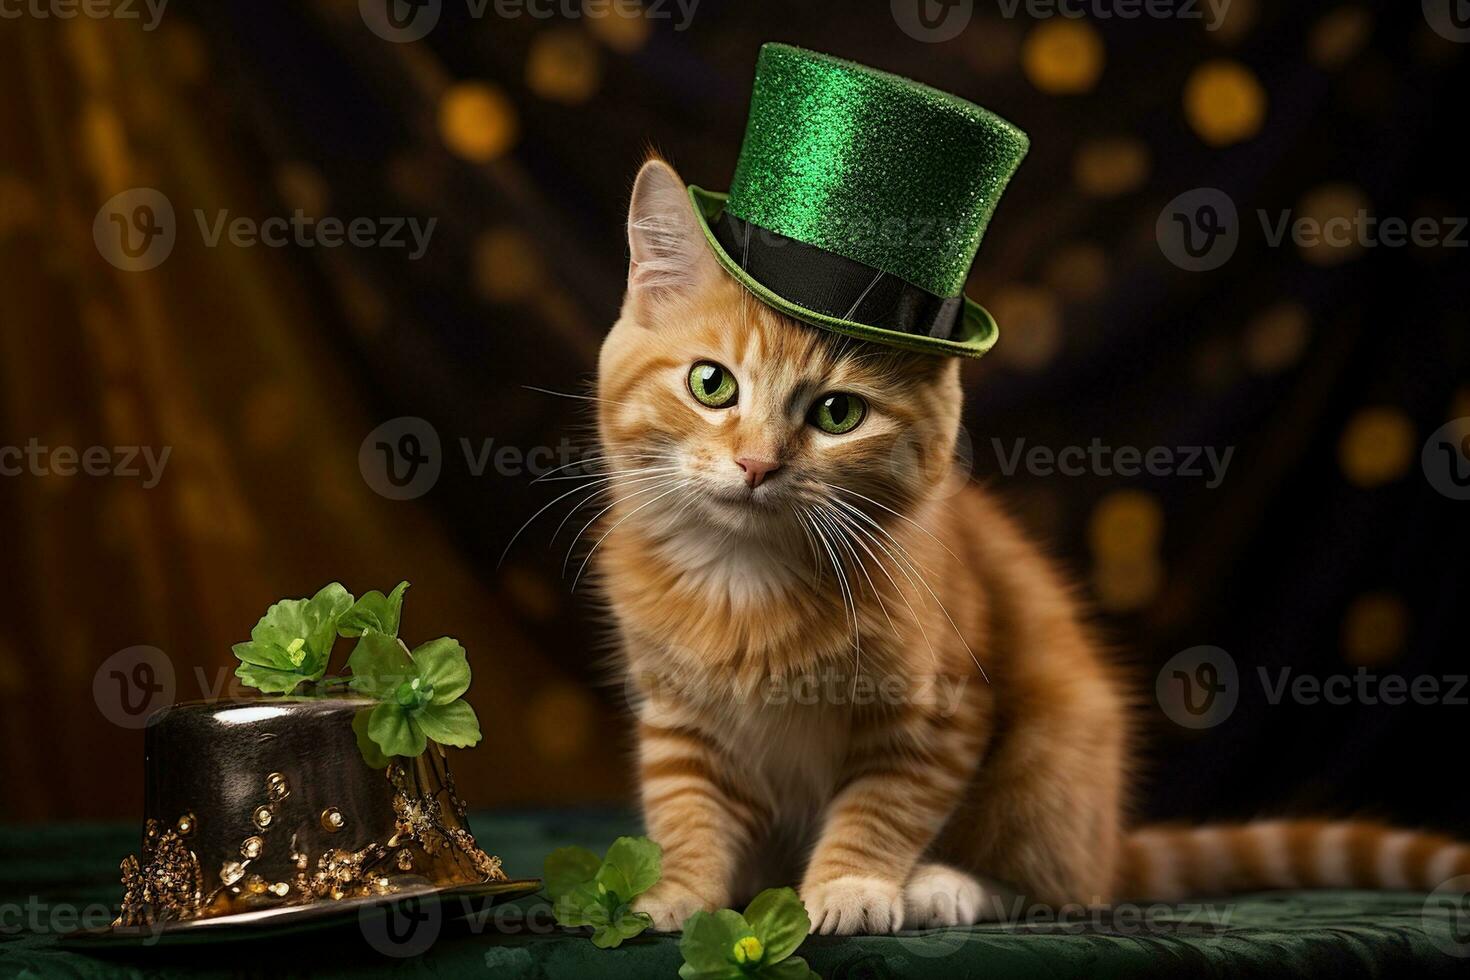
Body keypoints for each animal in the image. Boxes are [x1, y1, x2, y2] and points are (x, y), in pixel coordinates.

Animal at [588, 159, 1470, 934]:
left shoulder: (943, 712)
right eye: (711, 384)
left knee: (1053, 887)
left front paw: (853, 885)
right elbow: (684, 808)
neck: (746, 577)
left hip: (1052, 756)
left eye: (838, 414)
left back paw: (943, 887)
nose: (757, 464)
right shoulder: (676, 715)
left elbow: (883, 805)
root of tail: (1106, 842)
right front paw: (680, 892)